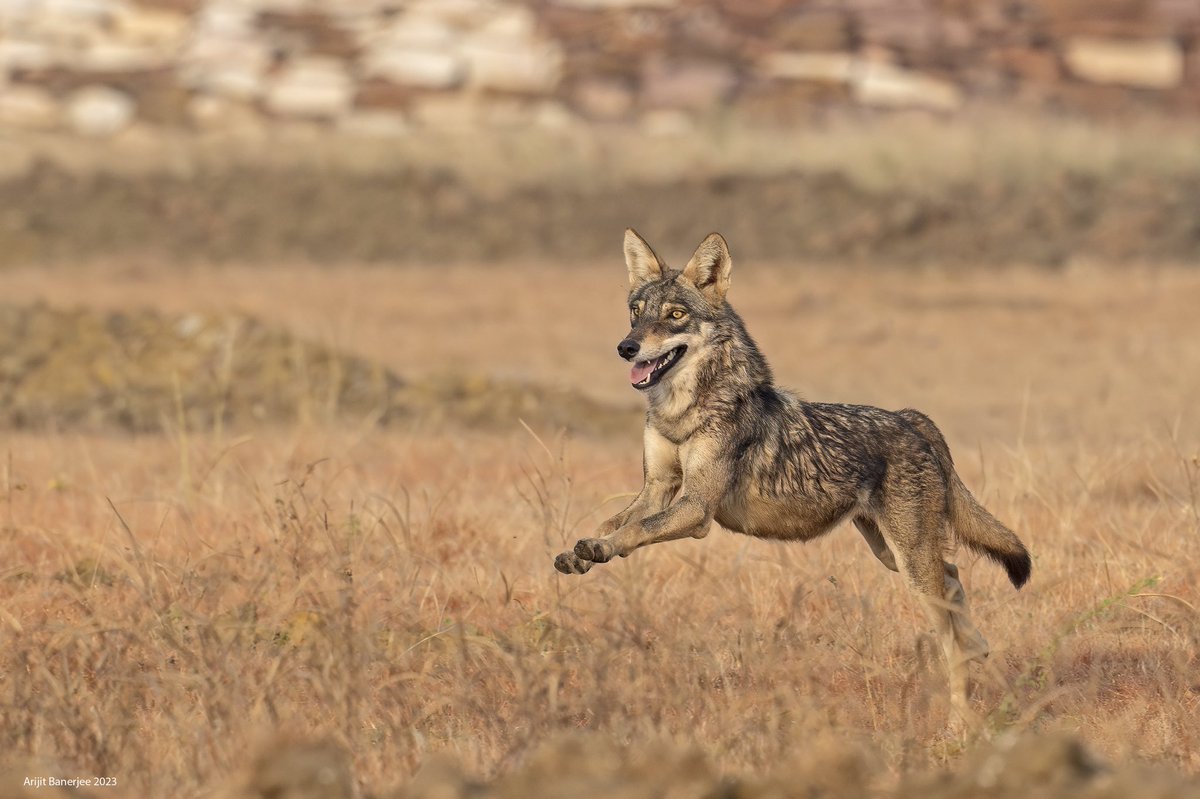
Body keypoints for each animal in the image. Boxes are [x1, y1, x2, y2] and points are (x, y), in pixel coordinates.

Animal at [552, 226, 1032, 719]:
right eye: (636, 312)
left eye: (675, 315)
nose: (626, 348)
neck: (681, 410)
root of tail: (912, 419)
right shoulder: (657, 489)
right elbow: (614, 522)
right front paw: (582, 552)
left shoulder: (696, 507)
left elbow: (637, 530)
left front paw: (601, 549)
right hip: (892, 554)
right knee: (954, 576)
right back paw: (979, 647)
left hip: (911, 565)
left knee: (950, 637)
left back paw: (960, 719)